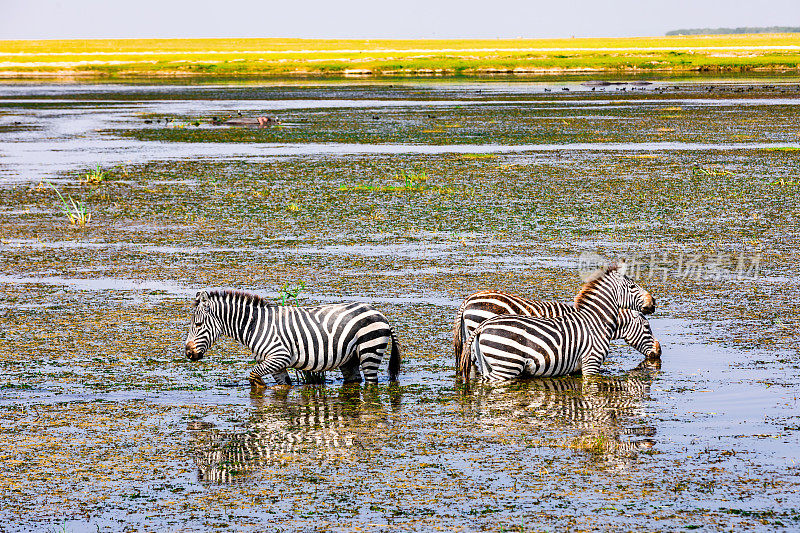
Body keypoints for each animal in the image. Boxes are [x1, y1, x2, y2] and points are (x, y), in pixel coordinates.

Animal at [186, 288, 400, 384]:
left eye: (198, 325)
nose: (188, 353)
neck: (256, 326)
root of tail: (381, 314)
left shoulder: (279, 357)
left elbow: (254, 377)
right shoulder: (276, 365)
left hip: (370, 351)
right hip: (350, 359)